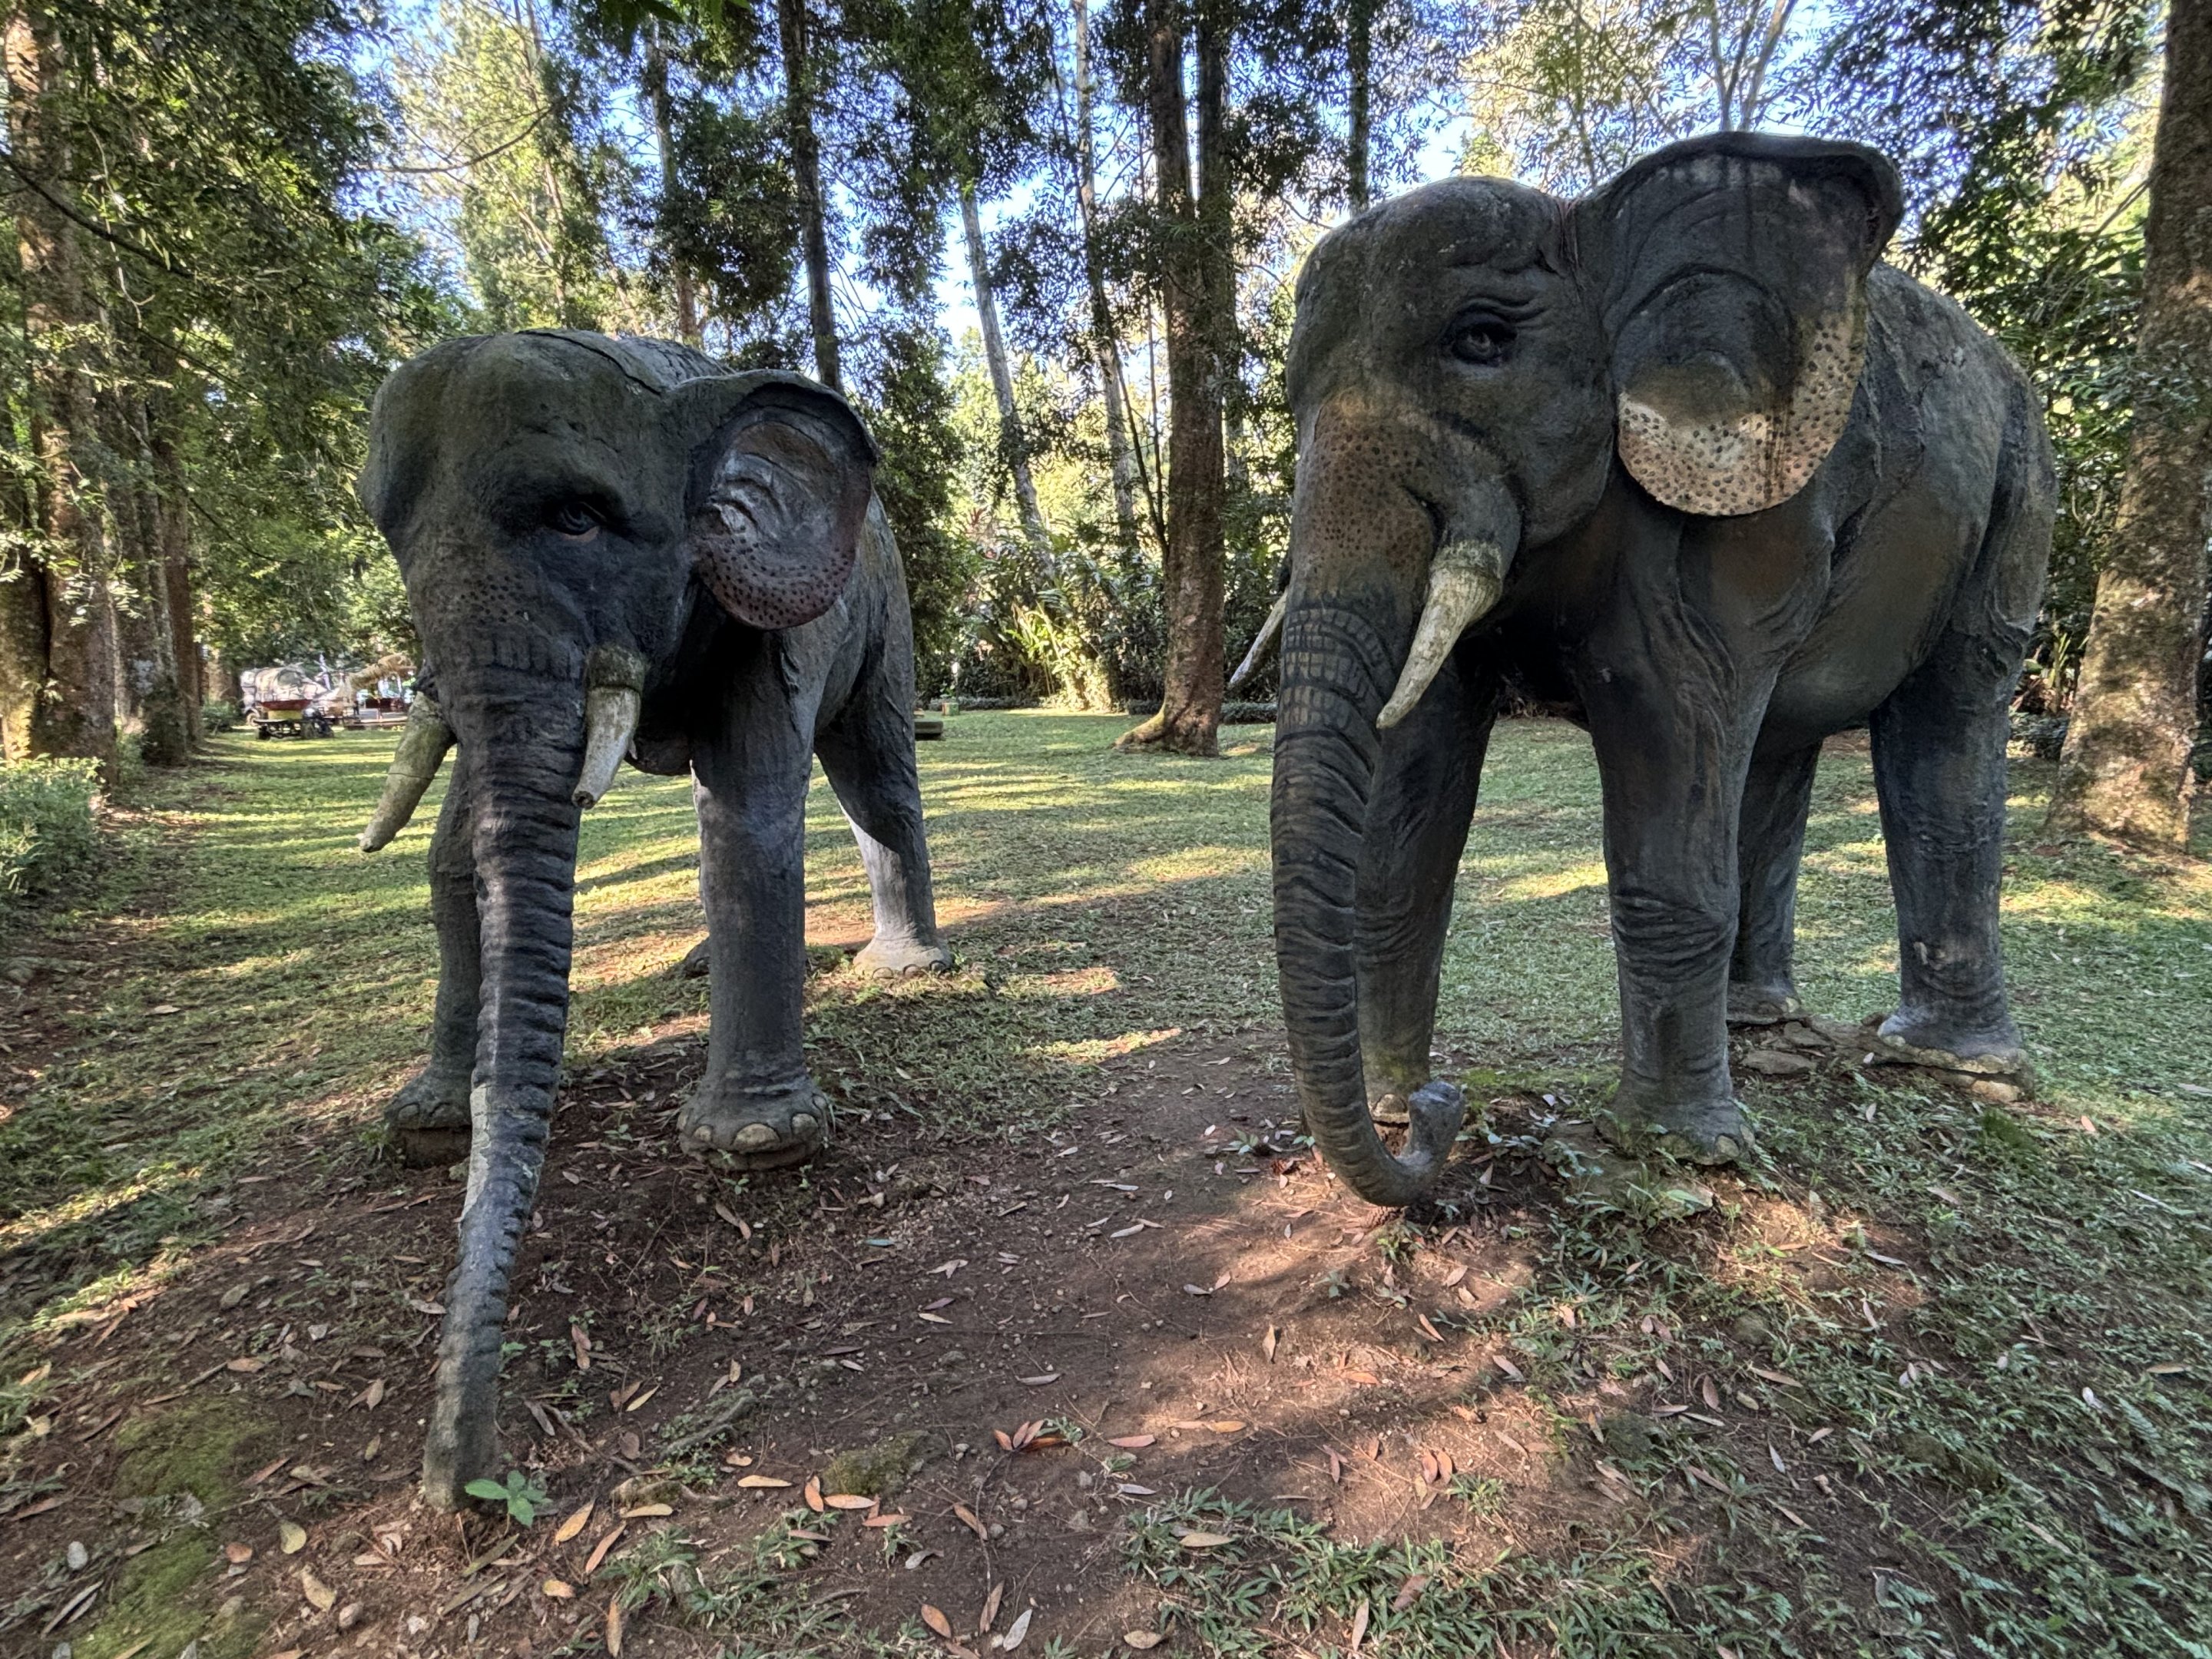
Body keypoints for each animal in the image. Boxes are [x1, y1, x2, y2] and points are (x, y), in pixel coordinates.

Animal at [354, 329, 950, 1506]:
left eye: (578, 517)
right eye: (387, 534)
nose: (463, 1488)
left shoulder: (775, 609)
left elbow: (749, 815)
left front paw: (757, 1146)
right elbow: (454, 850)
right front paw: (431, 1122)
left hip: (886, 608)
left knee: (875, 779)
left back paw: (906, 968)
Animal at [1269, 133, 2052, 1207]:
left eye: (1481, 340)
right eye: (1291, 393)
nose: (1445, 1110)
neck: (1595, 223)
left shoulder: (1734, 514)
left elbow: (1669, 734)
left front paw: (1679, 1154)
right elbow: (1414, 796)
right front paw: (1398, 1099)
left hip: (2017, 497)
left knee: (1948, 727)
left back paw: (1953, 1066)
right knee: (1779, 751)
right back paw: (1761, 1023)